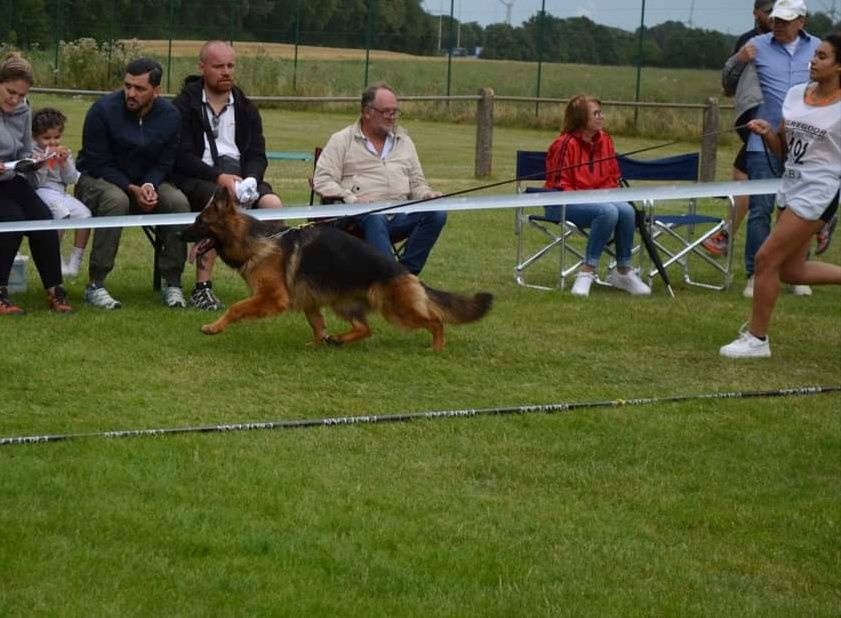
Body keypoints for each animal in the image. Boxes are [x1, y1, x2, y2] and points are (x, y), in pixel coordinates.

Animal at [180, 190, 488, 348]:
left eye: (199, 222)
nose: (179, 234)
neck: (254, 240)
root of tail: (405, 272)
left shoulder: (272, 297)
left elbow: (236, 308)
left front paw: (214, 327)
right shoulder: (309, 302)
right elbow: (317, 324)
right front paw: (317, 343)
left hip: (396, 310)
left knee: (435, 321)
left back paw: (436, 347)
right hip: (344, 304)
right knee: (365, 328)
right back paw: (338, 338)